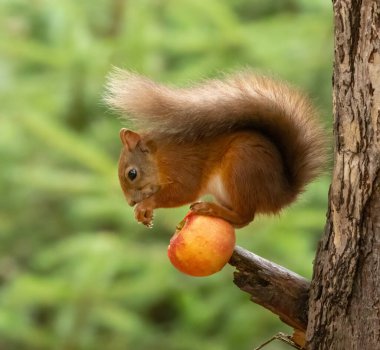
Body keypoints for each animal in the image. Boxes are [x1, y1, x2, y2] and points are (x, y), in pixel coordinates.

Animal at [104, 70, 326, 228]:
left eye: (132, 174)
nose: (131, 203)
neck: (159, 156)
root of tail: (280, 194)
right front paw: (145, 214)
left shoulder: (183, 164)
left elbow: (185, 192)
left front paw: (146, 205)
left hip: (242, 169)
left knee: (245, 216)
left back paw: (212, 210)